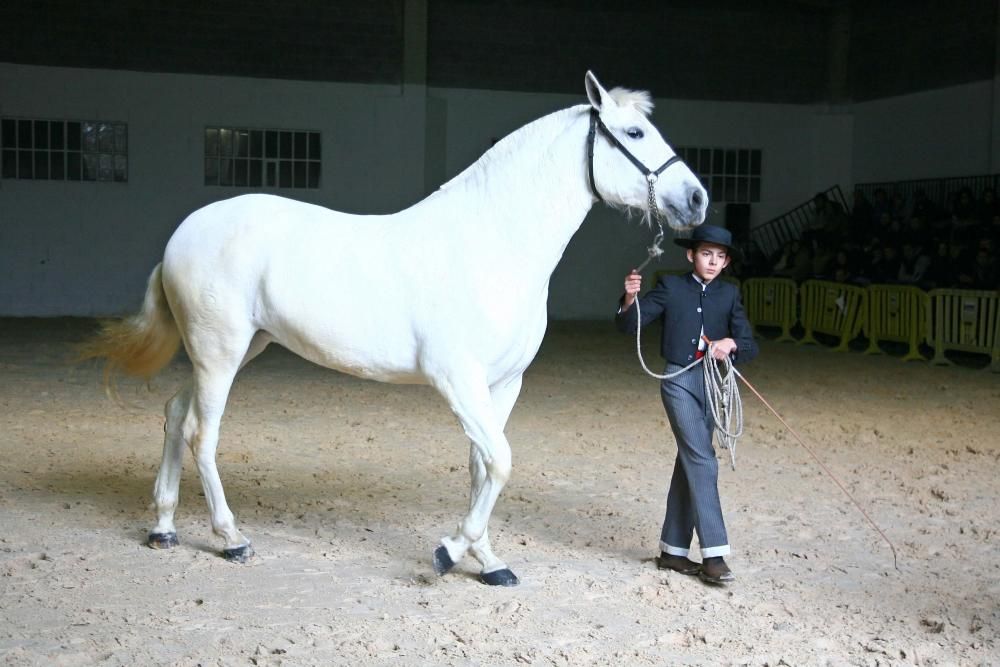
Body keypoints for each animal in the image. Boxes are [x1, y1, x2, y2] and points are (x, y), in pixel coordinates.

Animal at [88, 70, 712, 588]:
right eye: (634, 132)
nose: (697, 198)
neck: (494, 241)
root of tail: (181, 236)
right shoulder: (456, 379)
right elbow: (501, 461)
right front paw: (448, 551)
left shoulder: (501, 384)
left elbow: (482, 468)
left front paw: (489, 562)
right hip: (220, 352)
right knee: (202, 432)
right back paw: (231, 538)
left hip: (234, 350)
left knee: (174, 413)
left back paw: (164, 527)